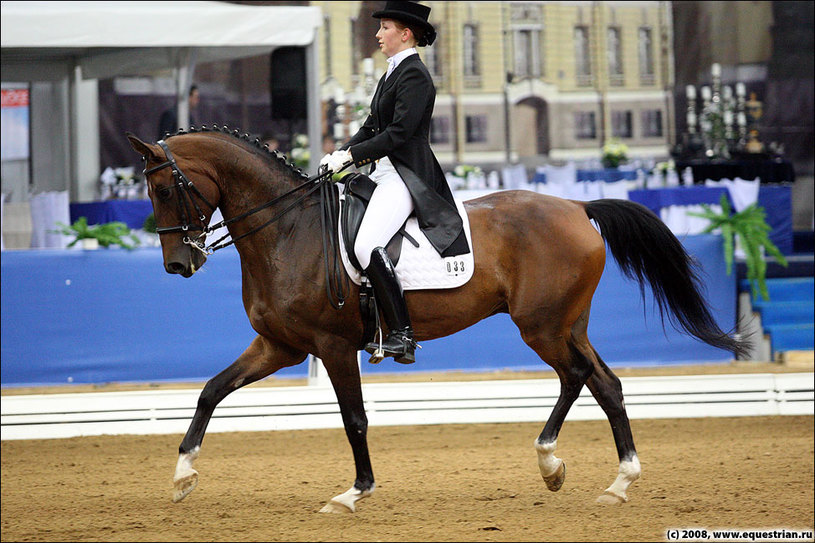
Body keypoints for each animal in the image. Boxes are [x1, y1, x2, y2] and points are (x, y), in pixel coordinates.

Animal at [126, 129, 744, 516]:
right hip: (566, 324)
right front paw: (182, 477)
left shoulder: (332, 345)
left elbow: (354, 419)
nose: (178, 264)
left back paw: (575, 469)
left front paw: (353, 494)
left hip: (543, 327)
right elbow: (211, 391)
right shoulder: (279, 346)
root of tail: (575, 206)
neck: (287, 229)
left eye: (165, 188)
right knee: (601, 383)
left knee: (583, 379)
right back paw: (601, 479)